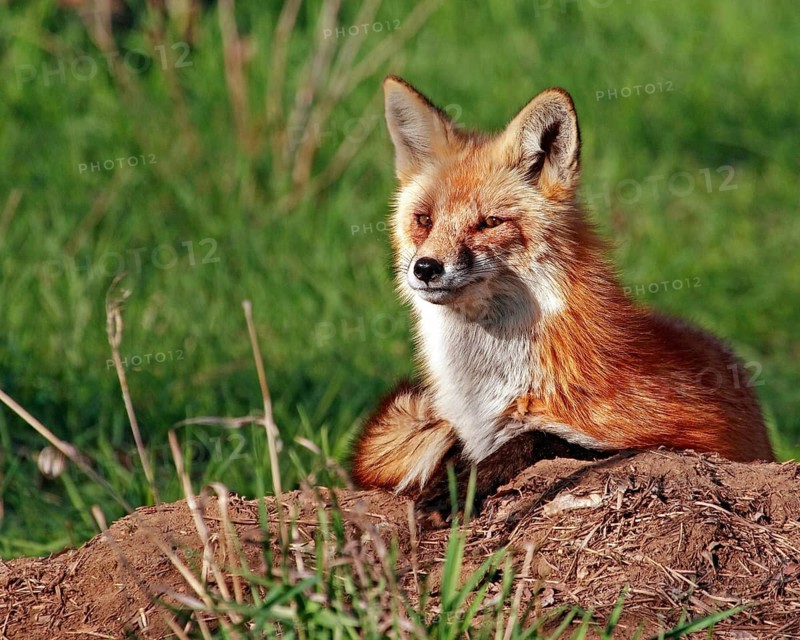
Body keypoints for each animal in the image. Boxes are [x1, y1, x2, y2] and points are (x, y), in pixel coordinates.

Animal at [351, 76, 773, 509]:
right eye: (424, 220)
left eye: (490, 222)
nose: (426, 268)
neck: (487, 393)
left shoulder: (689, 440)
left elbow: (540, 439)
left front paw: (452, 496)